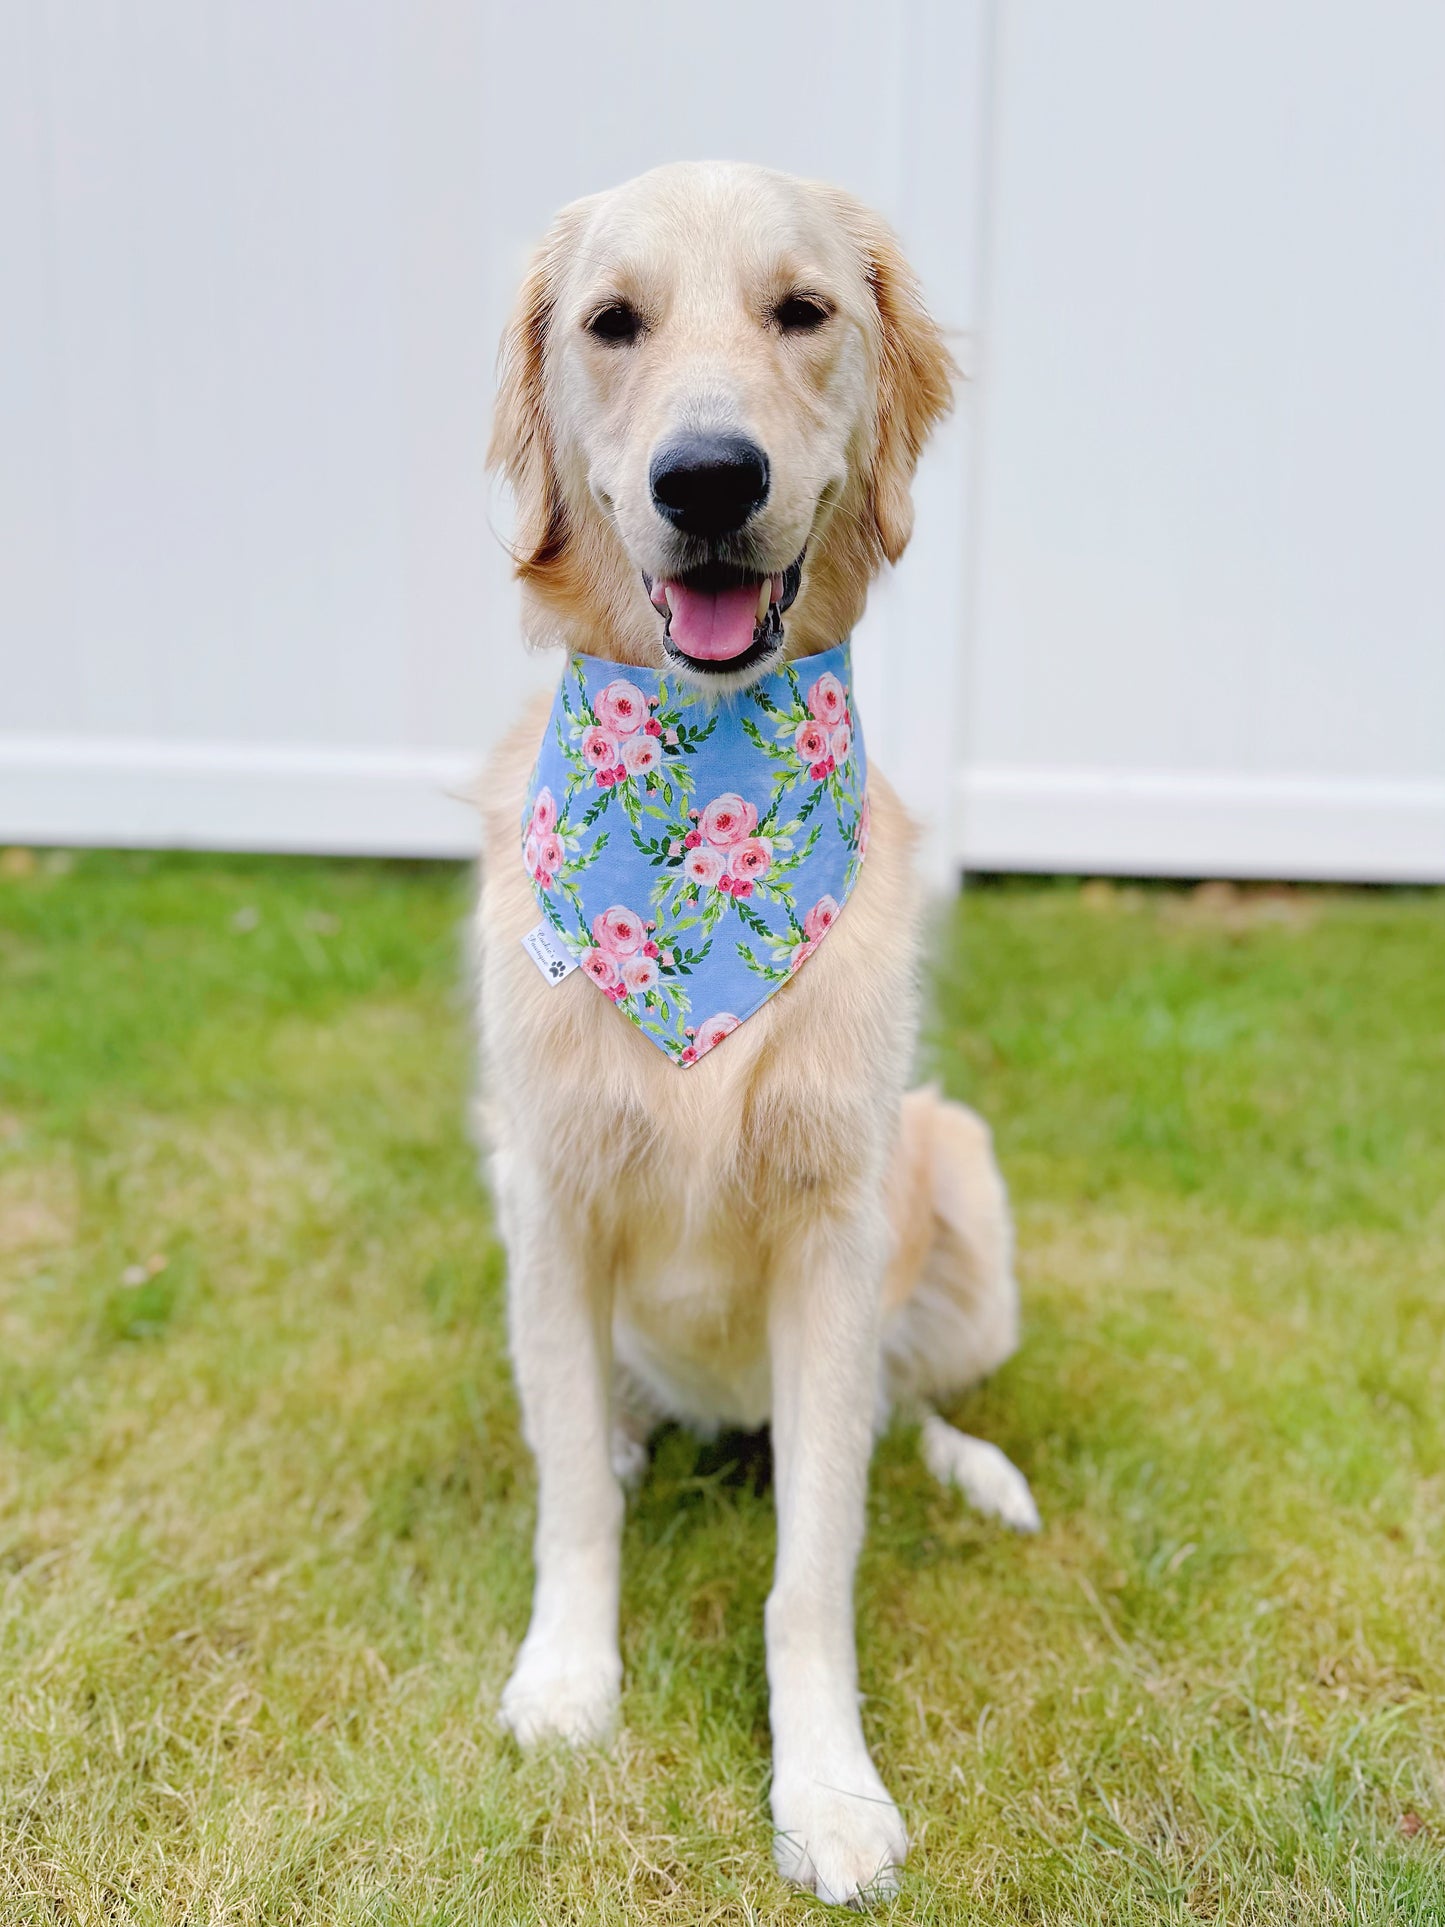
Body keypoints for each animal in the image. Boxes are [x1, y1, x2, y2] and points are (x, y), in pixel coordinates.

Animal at [470, 158, 1032, 1903]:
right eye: (612, 322)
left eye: (802, 310)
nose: (710, 478)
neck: (706, 768)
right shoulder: (554, 1192)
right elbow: (568, 1500)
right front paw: (567, 1680)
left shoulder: (835, 1232)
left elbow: (813, 1567)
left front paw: (828, 1787)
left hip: (959, 1183)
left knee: (906, 1408)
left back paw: (972, 1468)